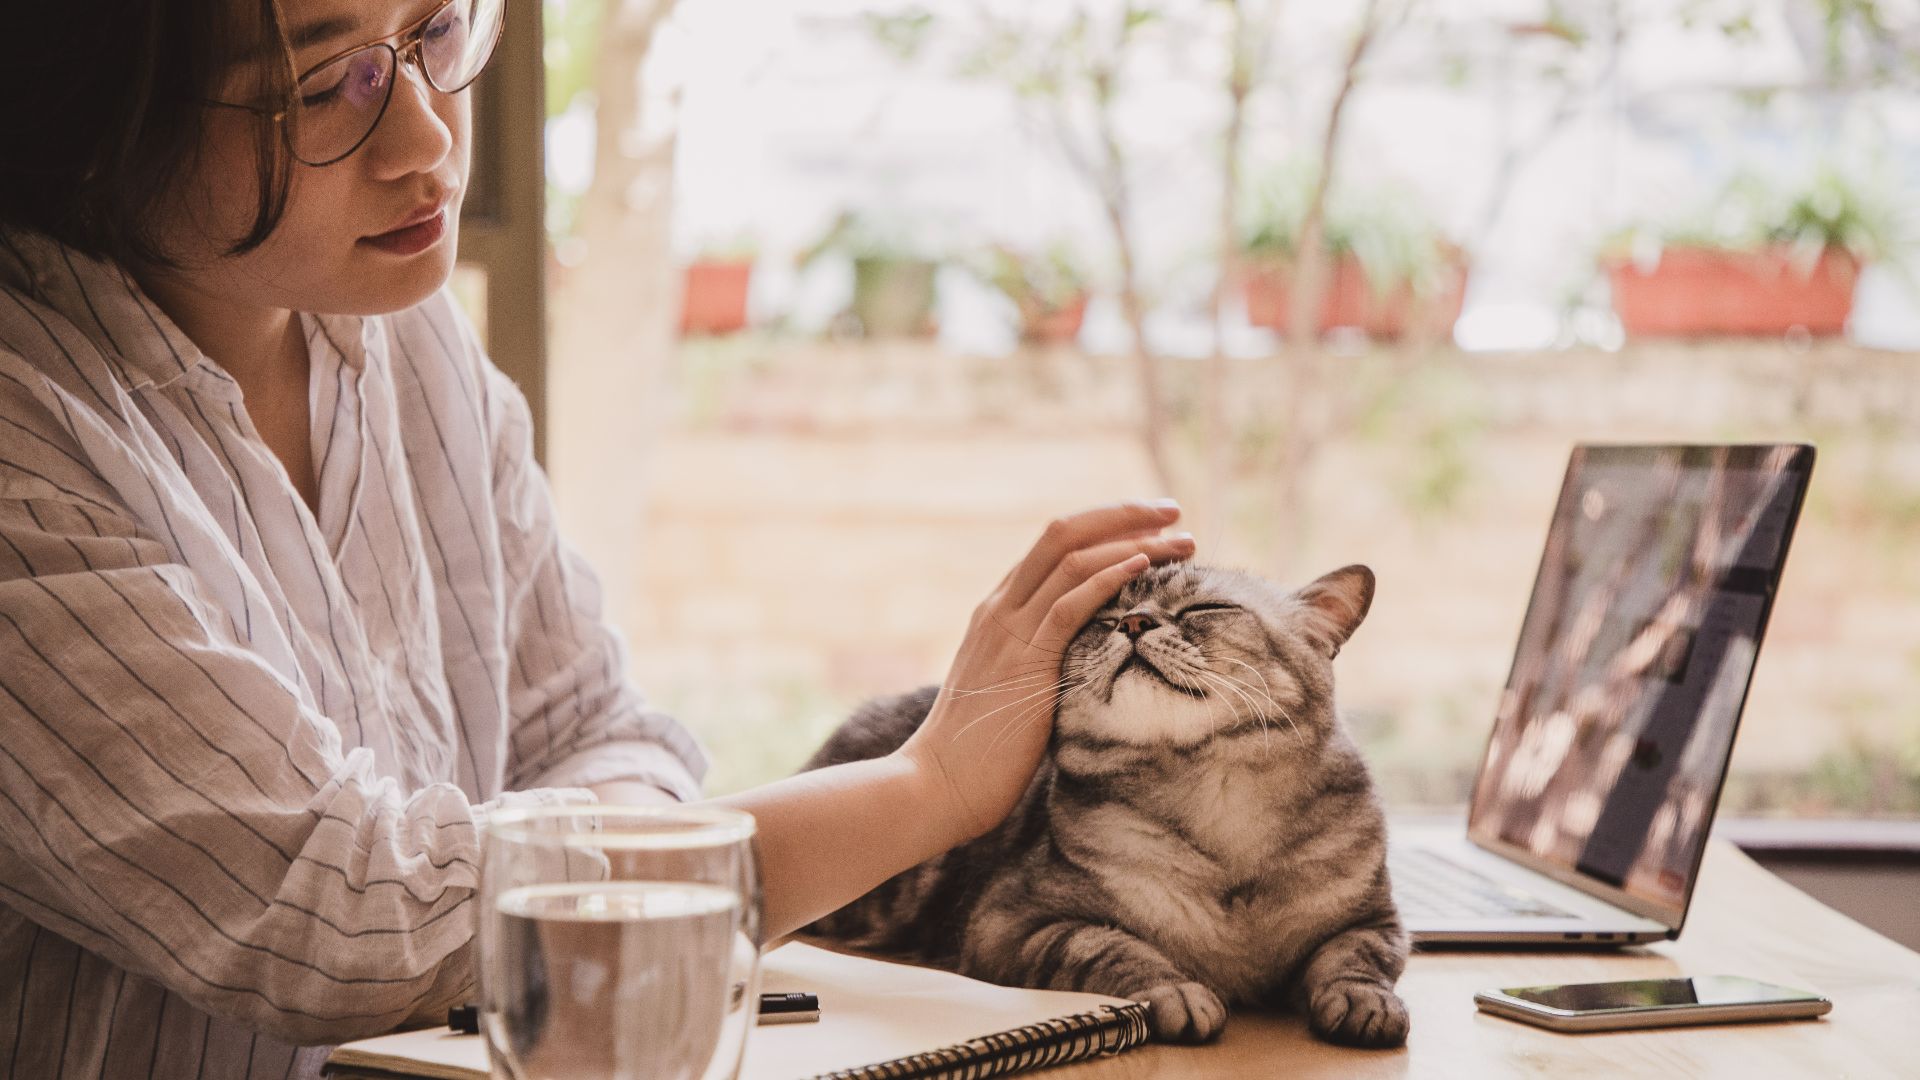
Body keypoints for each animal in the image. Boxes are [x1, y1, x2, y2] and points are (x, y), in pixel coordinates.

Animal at [794, 564, 1413, 1045]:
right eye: (1103, 617)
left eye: (1206, 607)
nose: (1134, 622)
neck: (1216, 804)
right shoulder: (1013, 923)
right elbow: (1111, 946)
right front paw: (1176, 990)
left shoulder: (1376, 920)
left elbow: (1356, 957)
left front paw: (1365, 1003)